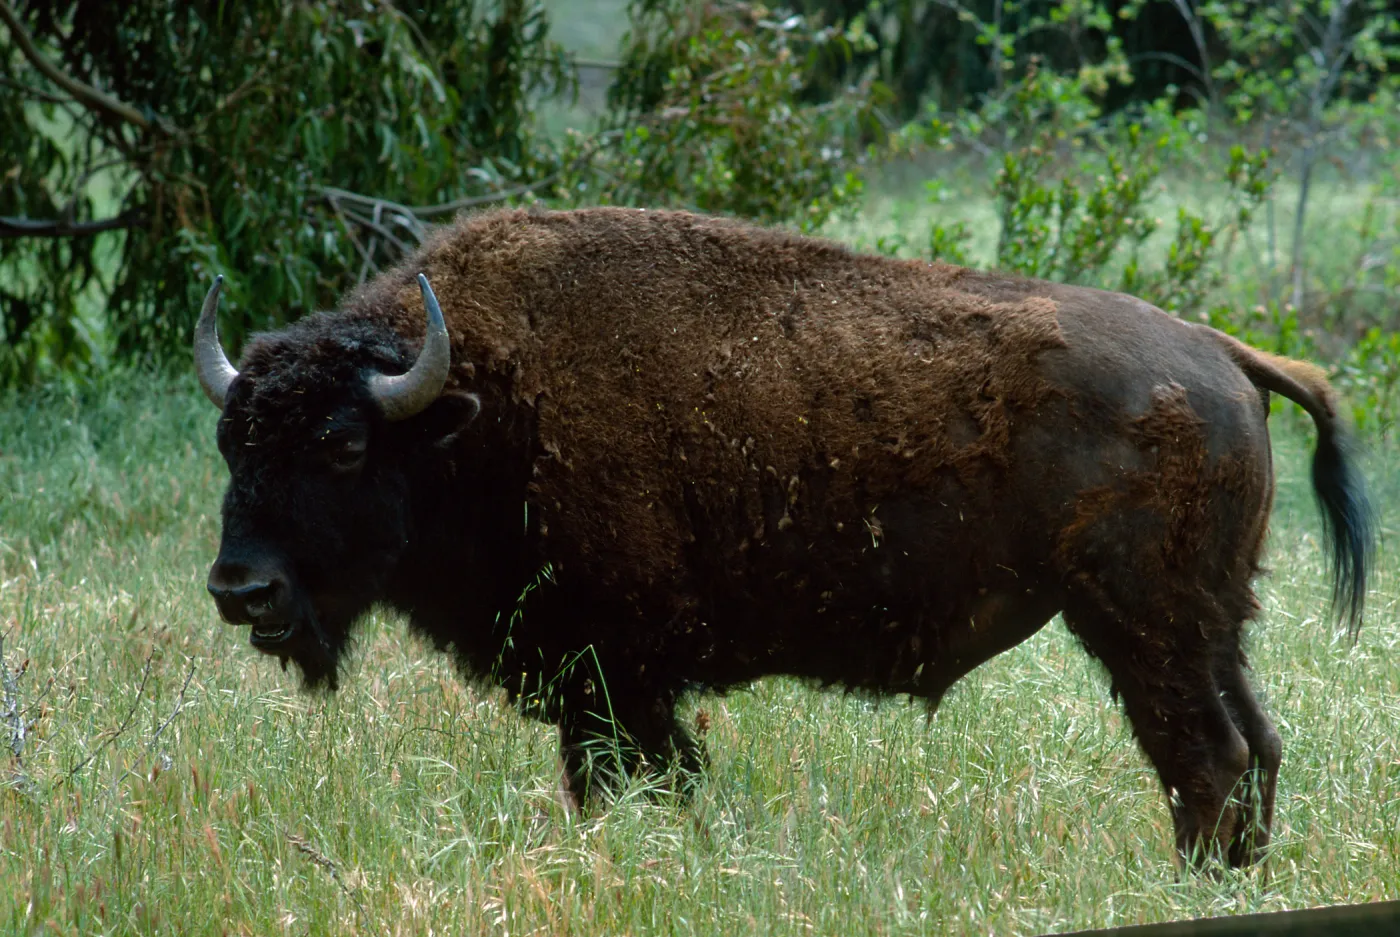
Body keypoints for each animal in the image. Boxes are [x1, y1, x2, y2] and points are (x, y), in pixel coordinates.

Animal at [196, 206, 1373, 868]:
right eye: (229, 440)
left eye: (342, 443)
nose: (240, 590)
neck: (476, 403)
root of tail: (1221, 351)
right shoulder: (603, 682)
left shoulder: (613, 675)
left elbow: (637, 775)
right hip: (1210, 626)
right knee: (1255, 746)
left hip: (1142, 626)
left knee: (1206, 756)